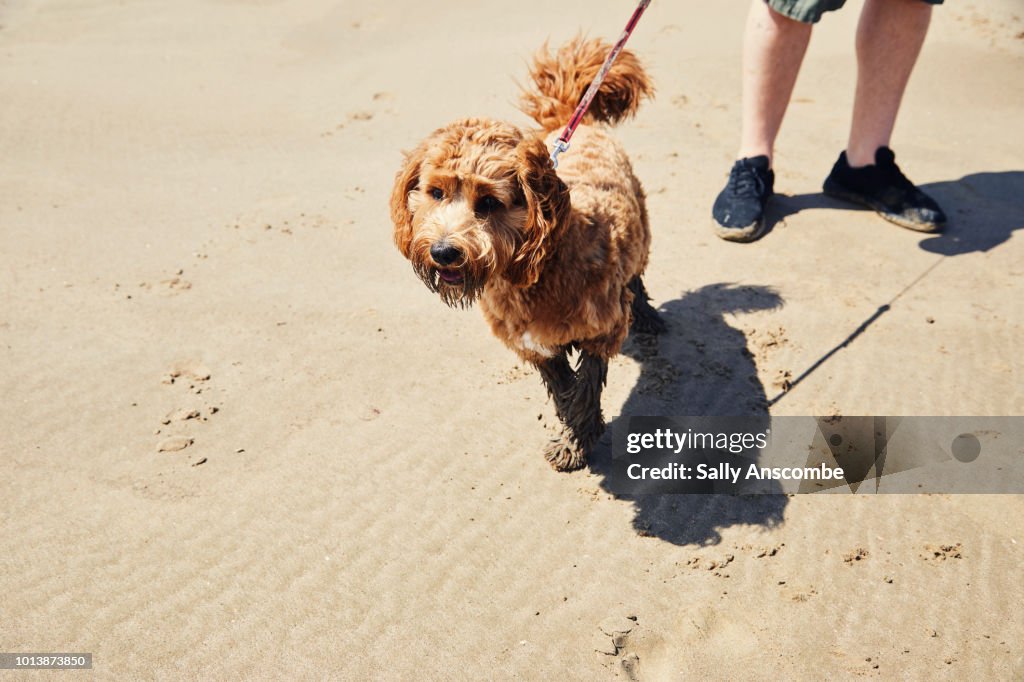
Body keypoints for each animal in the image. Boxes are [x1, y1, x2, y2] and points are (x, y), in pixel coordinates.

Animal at [389, 37, 663, 471]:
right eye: (435, 192)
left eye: (488, 202)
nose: (444, 252)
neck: (539, 267)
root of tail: (577, 123)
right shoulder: (532, 345)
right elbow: (564, 389)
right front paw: (573, 430)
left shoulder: (602, 328)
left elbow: (584, 390)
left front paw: (575, 442)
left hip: (641, 231)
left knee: (636, 275)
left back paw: (648, 315)